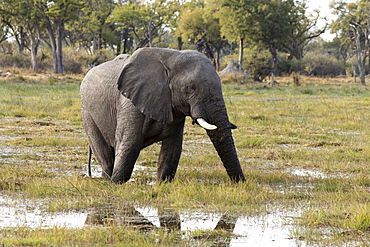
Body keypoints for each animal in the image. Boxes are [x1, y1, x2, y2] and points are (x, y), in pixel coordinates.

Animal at [80, 48, 246, 183]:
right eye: (191, 88)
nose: (241, 182)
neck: (171, 56)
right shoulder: (129, 103)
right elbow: (130, 142)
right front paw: (117, 183)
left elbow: (172, 148)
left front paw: (163, 183)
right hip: (87, 111)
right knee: (104, 154)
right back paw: (107, 179)